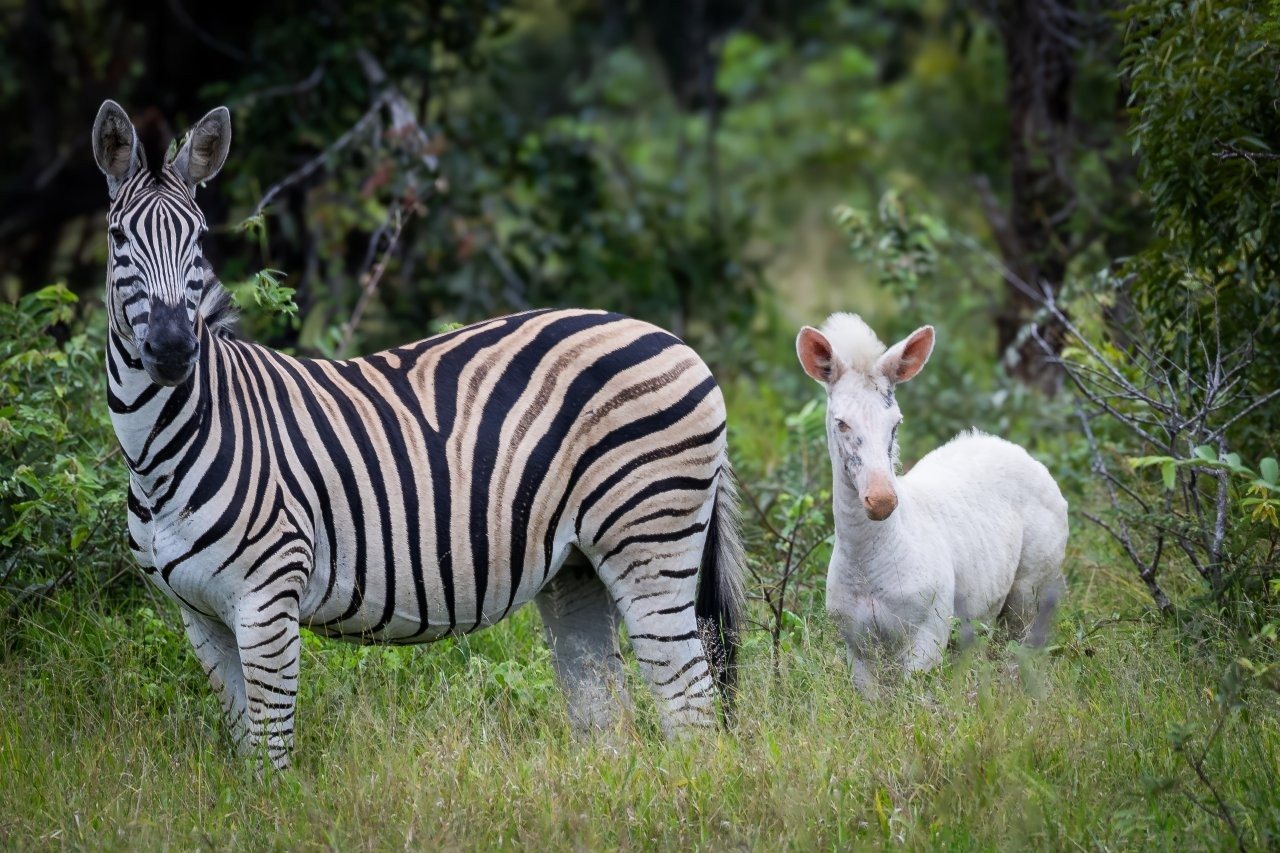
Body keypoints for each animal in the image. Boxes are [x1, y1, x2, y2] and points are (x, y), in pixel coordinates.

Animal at [90, 100, 745, 768]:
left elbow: (272, 755)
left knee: (690, 703)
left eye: (199, 240)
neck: (161, 453)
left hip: (649, 538)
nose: (173, 349)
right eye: (118, 239)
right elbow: (246, 750)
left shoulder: (266, 599)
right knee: (605, 713)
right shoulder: (201, 617)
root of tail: (675, 340)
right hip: (577, 567)